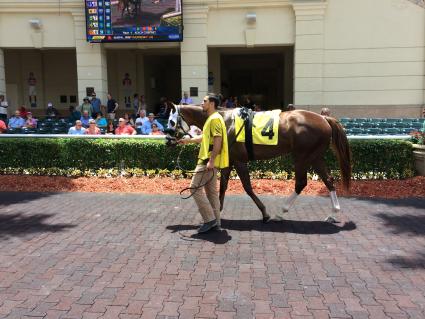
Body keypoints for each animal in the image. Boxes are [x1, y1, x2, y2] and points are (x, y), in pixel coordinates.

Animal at [166, 105, 352, 222]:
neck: (224, 121)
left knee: (301, 183)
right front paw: (218, 210)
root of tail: (324, 118)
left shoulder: (239, 160)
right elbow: (223, 186)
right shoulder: (230, 160)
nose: (168, 140)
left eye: (171, 121)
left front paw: (265, 213)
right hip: (315, 157)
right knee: (329, 180)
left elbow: (247, 187)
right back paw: (333, 213)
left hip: (302, 156)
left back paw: (280, 213)